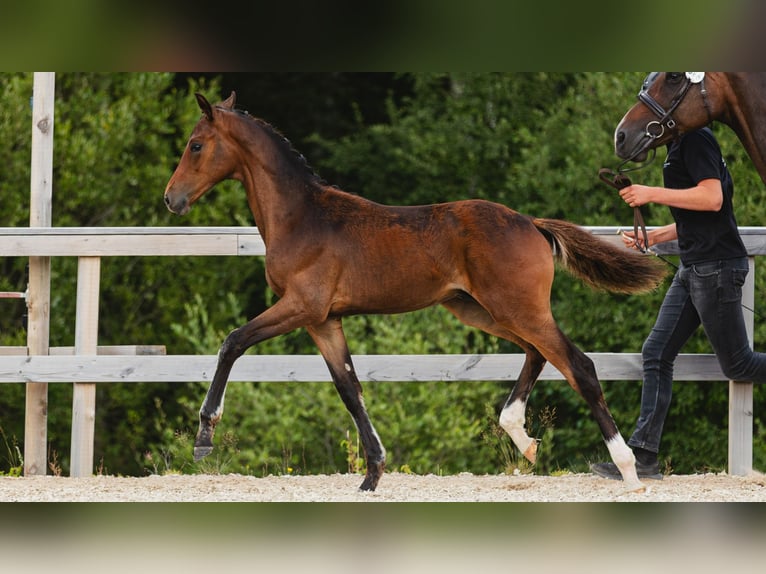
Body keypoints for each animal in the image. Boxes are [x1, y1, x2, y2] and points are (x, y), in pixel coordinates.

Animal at [164, 92, 667, 492]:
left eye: (196, 144)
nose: (172, 199)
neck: (302, 216)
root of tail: (532, 223)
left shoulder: (300, 306)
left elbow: (233, 342)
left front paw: (204, 437)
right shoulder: (324, 320)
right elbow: (349, 387)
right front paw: (372, 474)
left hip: (515, 309)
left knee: (578, 365)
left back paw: (626, 469)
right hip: (481, 310)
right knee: (538, 354)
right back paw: (523, 440)